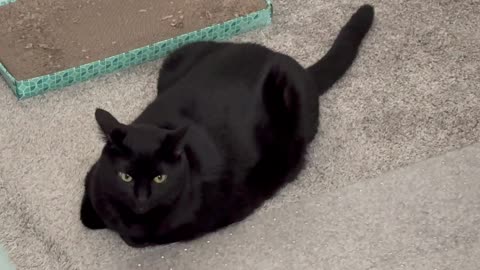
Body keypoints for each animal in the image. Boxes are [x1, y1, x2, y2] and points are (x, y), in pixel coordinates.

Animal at [79, 4, 376, 247]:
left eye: (159, 178)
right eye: (125, 177)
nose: (141, 198)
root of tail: (294, 65)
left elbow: (128, 234)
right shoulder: (95, 176)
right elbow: (89, 212)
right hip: (174, 58)